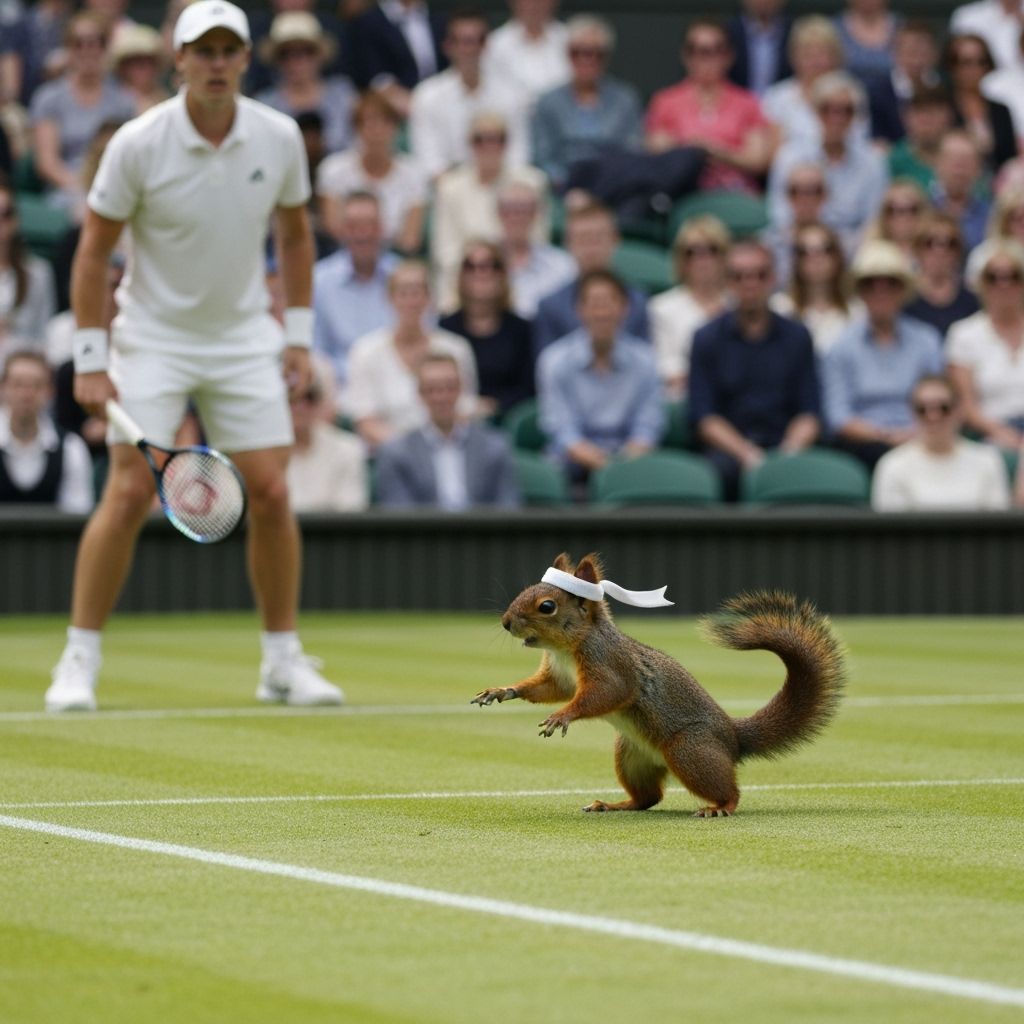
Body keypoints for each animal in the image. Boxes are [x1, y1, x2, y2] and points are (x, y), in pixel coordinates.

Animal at [471, 552, 846, 817]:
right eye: (525, 592)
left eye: (546, 606)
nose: (505, 622)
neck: (565, 649)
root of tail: (733, 737)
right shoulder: (559, 675)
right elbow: (549, 690)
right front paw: (502, 691)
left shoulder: (611, 665)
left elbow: (606, 693)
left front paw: (562, 716)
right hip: (630, 756)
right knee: (648, 798)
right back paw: (614, 805)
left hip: (690, 751)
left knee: (725, 789)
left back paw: (720, 806)